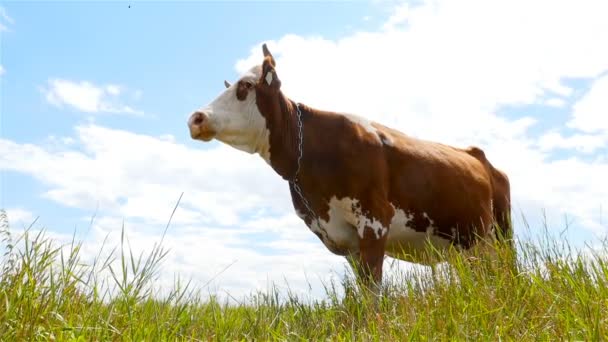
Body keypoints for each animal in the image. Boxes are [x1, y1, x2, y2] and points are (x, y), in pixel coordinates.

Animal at [188, 42, 510, 294]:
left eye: (245, 86)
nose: (196, 118)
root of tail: (478, 155)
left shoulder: (375, 220)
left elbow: (372, 293)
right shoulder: (345, 239)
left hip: (500, 234)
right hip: (467, 247)